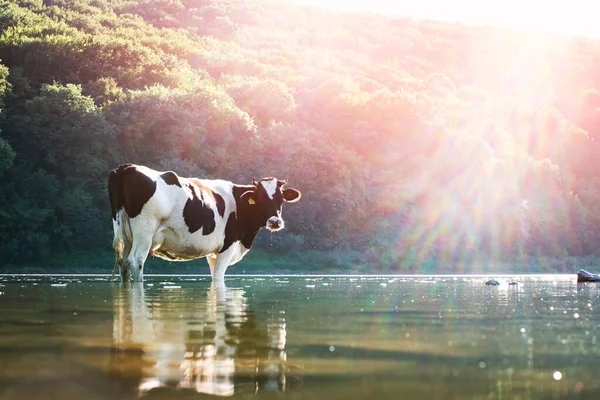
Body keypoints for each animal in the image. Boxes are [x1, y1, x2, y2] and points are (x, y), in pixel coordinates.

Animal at [108, 162, 302, 282]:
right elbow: (219, 278)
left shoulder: (213, 253)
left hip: (125, 233)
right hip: (145, 230)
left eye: (281, 199)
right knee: (136, 261)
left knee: (124, 263)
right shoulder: (227, 247)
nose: (275, 221)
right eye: (260, 198)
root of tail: (127, 167)